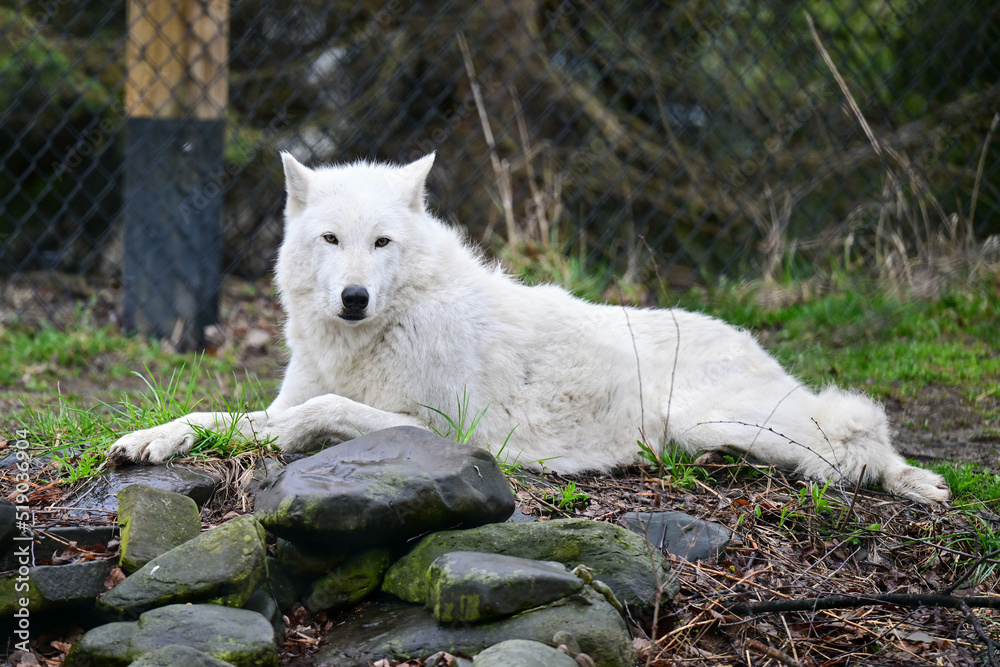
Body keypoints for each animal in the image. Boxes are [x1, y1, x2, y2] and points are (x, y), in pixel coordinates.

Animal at [108, 152, 950, 504]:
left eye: (381, 243)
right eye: (331, 240)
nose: (352, 296)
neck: (371, 338)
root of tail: (757, 345)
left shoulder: (445, 430)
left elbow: (316, 413)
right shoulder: (287, 393)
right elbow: (219, 415)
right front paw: (148, 440)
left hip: (730, 420)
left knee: (855, 442)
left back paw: (918, 482)